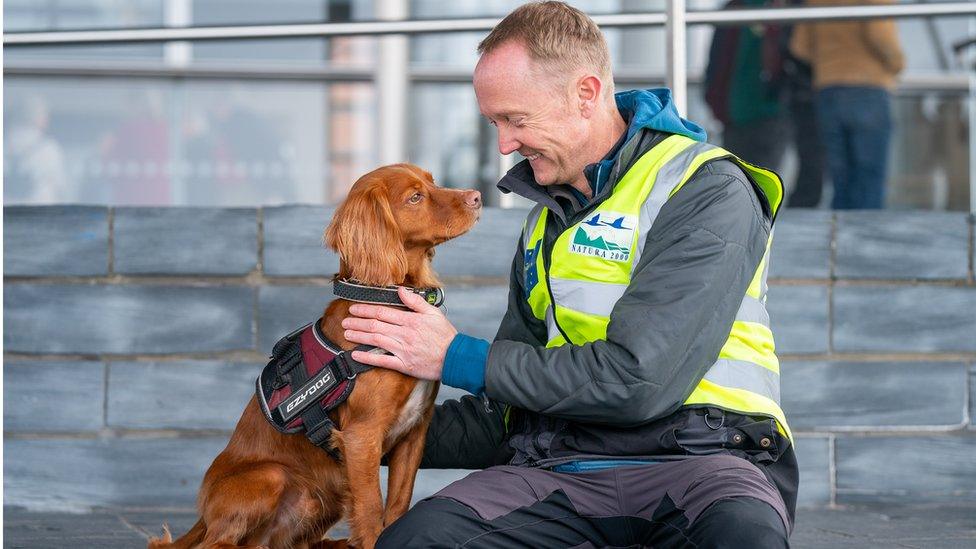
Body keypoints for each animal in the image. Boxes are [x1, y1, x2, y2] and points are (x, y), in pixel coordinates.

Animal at [151, 164, 482, 548]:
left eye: (432, 180)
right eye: (415, 197)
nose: (477, 197)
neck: (387, 297)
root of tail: (203, 516)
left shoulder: (415, 430)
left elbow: (398, 505)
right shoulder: (361, 437)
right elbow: (372, 510)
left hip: (322, 495)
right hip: (272, 477)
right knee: (218, 543)